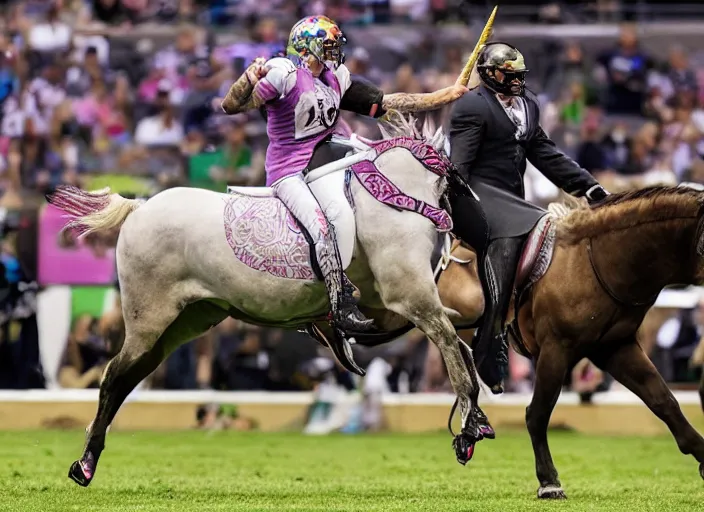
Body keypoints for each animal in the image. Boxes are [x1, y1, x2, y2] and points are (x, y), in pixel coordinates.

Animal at [49, 114, 492, 486]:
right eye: (461, 184)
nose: (483, 232)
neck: (389, 195)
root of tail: (139, 208)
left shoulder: (395, 309)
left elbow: (462, 350)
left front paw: (476, 420)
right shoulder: (411, 298)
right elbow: (454, 353)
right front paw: (469, 431)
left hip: (180, 323)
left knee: (127, 378)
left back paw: (87, 460)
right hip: (149, 320)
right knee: (112, 377)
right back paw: (84, 464)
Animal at [508, 186, 704, 498]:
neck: (594, 261)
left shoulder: (615, 347)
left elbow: (664, 400)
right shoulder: (555, 348)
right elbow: (537, 412)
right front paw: (549, 482)